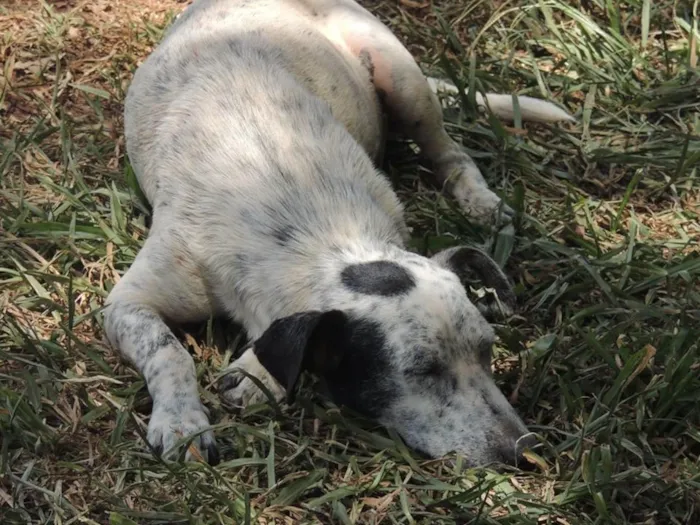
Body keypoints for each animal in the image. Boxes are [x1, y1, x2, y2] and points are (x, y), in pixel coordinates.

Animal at [102, 0, 576, 466]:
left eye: (487, 350)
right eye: (422, 372)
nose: (525, 449)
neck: (309, 224)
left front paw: (256, 372)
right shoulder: (128, 302)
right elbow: (169, 351)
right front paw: (182, 422)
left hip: (403, 81)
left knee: (452, 153)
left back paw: (480, 200)